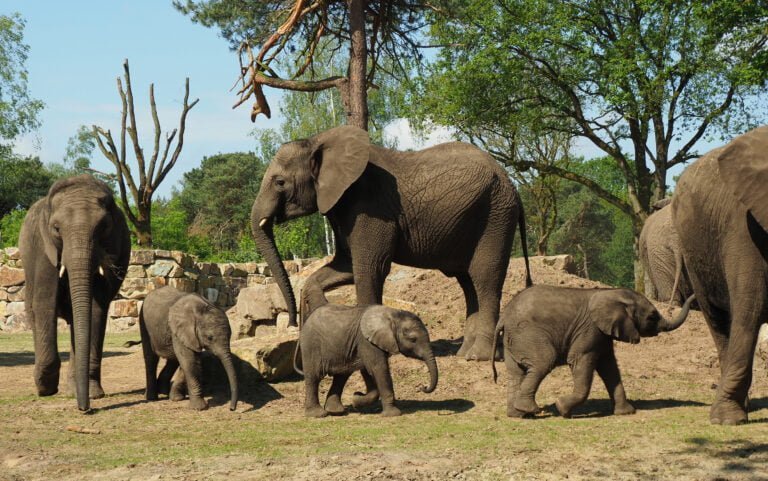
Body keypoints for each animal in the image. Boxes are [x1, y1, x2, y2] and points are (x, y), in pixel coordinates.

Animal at [18, 175, 130, 408]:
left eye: (104, 227)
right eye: (56, 229)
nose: (84, 409)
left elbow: (95, 308)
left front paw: (93, 394)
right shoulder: (44, 248)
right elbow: (45, 302)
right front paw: (45, 388)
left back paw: (74, 390)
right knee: (33, 309)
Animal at [250, 125, 528, 358]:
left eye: (280, 182)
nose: (292, 323)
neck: (318, 140)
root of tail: (513, 184)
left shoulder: (370, 206)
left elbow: (369, 269)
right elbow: (345, 266)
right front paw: (321, 309)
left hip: (495, 215)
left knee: (485, 277)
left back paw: (478, 357)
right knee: (468, 282)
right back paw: (464, 354)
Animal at [298, 304, 436, 416]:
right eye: (413, 339)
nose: (423, 387)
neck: (393, 314)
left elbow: (369, 370)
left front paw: (356, 400)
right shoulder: (366, 341)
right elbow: (378, 368)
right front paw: (393, 414)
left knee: (341, 376)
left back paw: (336, 411)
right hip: (311, 345)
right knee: (314, 377)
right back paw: (318, 414)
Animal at [496, 284, 692, 416]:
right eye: (652, 317)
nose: (693, 296)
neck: (610, 293)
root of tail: (504, 317)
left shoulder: (603, 334)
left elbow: (610, 367)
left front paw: (627, 412)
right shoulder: (590, 329)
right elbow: (580, 361)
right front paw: (562, 408)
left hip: (514, 340)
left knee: (516, 372)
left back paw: (518, 415)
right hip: (528, 334)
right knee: (543, 361)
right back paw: (531, 410)